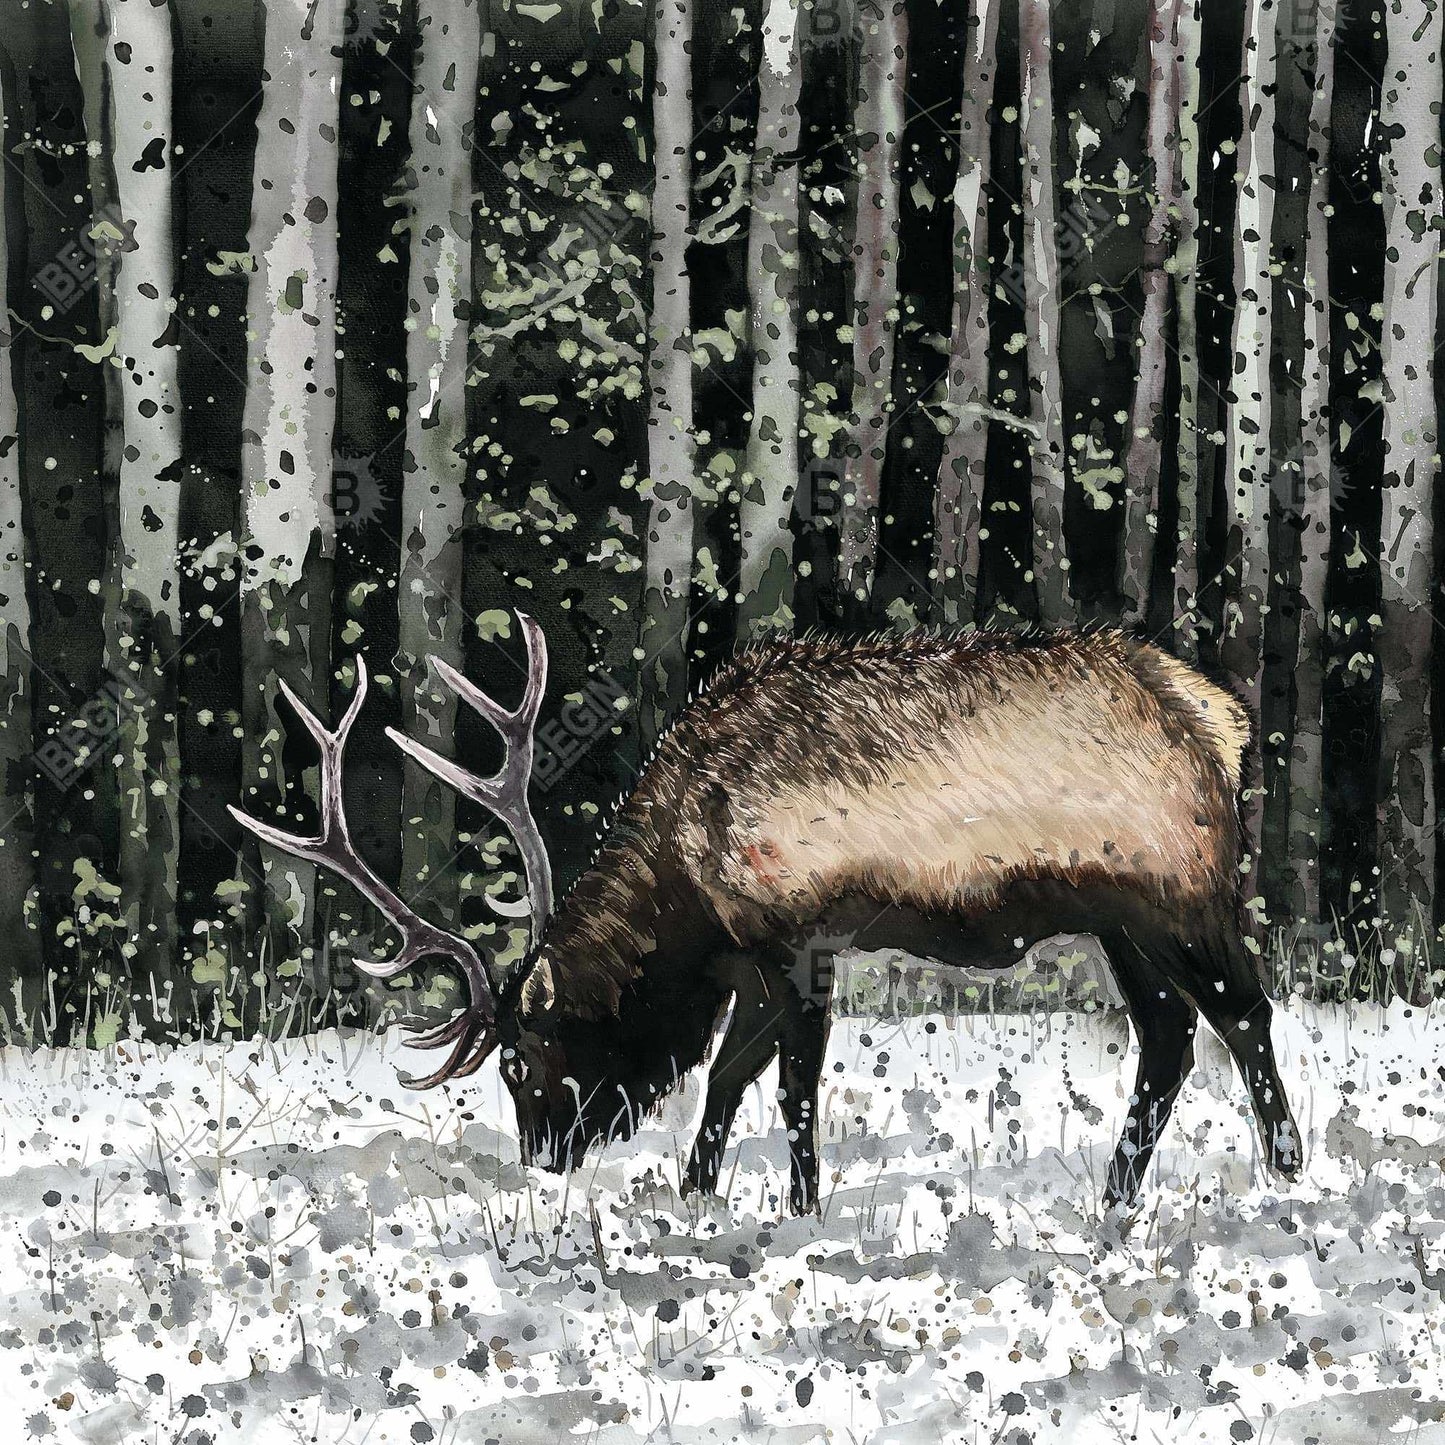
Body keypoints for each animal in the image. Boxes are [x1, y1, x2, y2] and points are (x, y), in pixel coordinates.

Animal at [230, 615, 1302, 1215]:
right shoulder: (761, 954)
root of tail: (1224, 722)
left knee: (1243, 1013)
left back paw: (1286, 1170)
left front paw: (799, 1204)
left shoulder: (798, 931)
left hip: (1178, 892)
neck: (686, 885)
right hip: (1122, 921)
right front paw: (699, 1190)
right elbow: (729, 1077)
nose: (543, 1155)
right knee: (1167, 1037)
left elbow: (788, 1086)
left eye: (519, 1058)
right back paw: (1115, 1197)